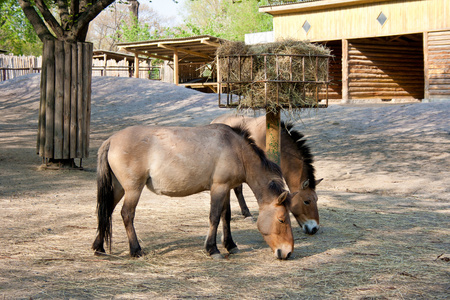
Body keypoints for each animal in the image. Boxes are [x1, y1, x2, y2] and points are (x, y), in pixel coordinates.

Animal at [92, 124, 296, 260]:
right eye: (281, 219)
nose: (287, 252)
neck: (235, 149)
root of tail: (111, 140)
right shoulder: (219, 187)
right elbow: (214, 217)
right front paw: (212, 249)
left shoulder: (226, 188)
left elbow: (226, 216)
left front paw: (230, 245)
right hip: (133, 189)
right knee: (127, 214)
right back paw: (135, 250)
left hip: (119, 189)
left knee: (106, 212)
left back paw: (99, 247)